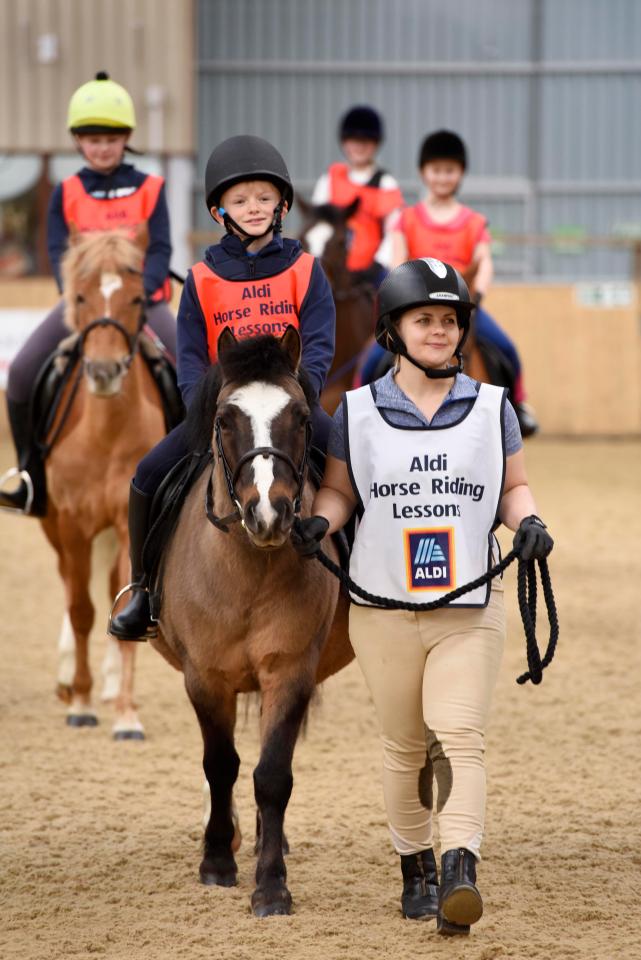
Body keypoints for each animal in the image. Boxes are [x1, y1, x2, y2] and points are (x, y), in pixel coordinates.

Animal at [38, 229, 166, 740]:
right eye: (79, 297)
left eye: (137, 298)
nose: (104, 373)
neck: (106, 432)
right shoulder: (72, 524)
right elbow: (81, 610)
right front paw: (82, 701)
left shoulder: (132, 525)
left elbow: (126, 601)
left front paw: (126, 714)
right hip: (54, 525)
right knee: (70, 583)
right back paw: (67, 680)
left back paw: (111, 687)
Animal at [148, 328, 352, 916]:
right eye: (223, 420)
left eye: (302, 417)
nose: (269, 513)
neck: (248, 568)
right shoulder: (205, 678)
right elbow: (221, 764)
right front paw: (217, 860)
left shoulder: (289, 671)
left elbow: (272, 774)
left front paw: (271, 884)